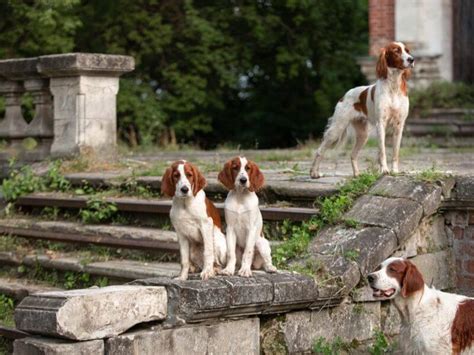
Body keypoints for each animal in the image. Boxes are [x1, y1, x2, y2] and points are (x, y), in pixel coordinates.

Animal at [308, 42, 414, 179]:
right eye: (396, 51)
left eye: (407, 50)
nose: (412, 59)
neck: (393, 87)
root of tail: (344, 96)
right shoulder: (381, 124)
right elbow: (382, 151)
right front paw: (384, 170)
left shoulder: (399, 125)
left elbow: (395, 152)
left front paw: (395, 171)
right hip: (337, 129)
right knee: (320, 150)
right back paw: (314, 172)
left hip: (363, 134)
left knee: (352, 154)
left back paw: (357, 174)